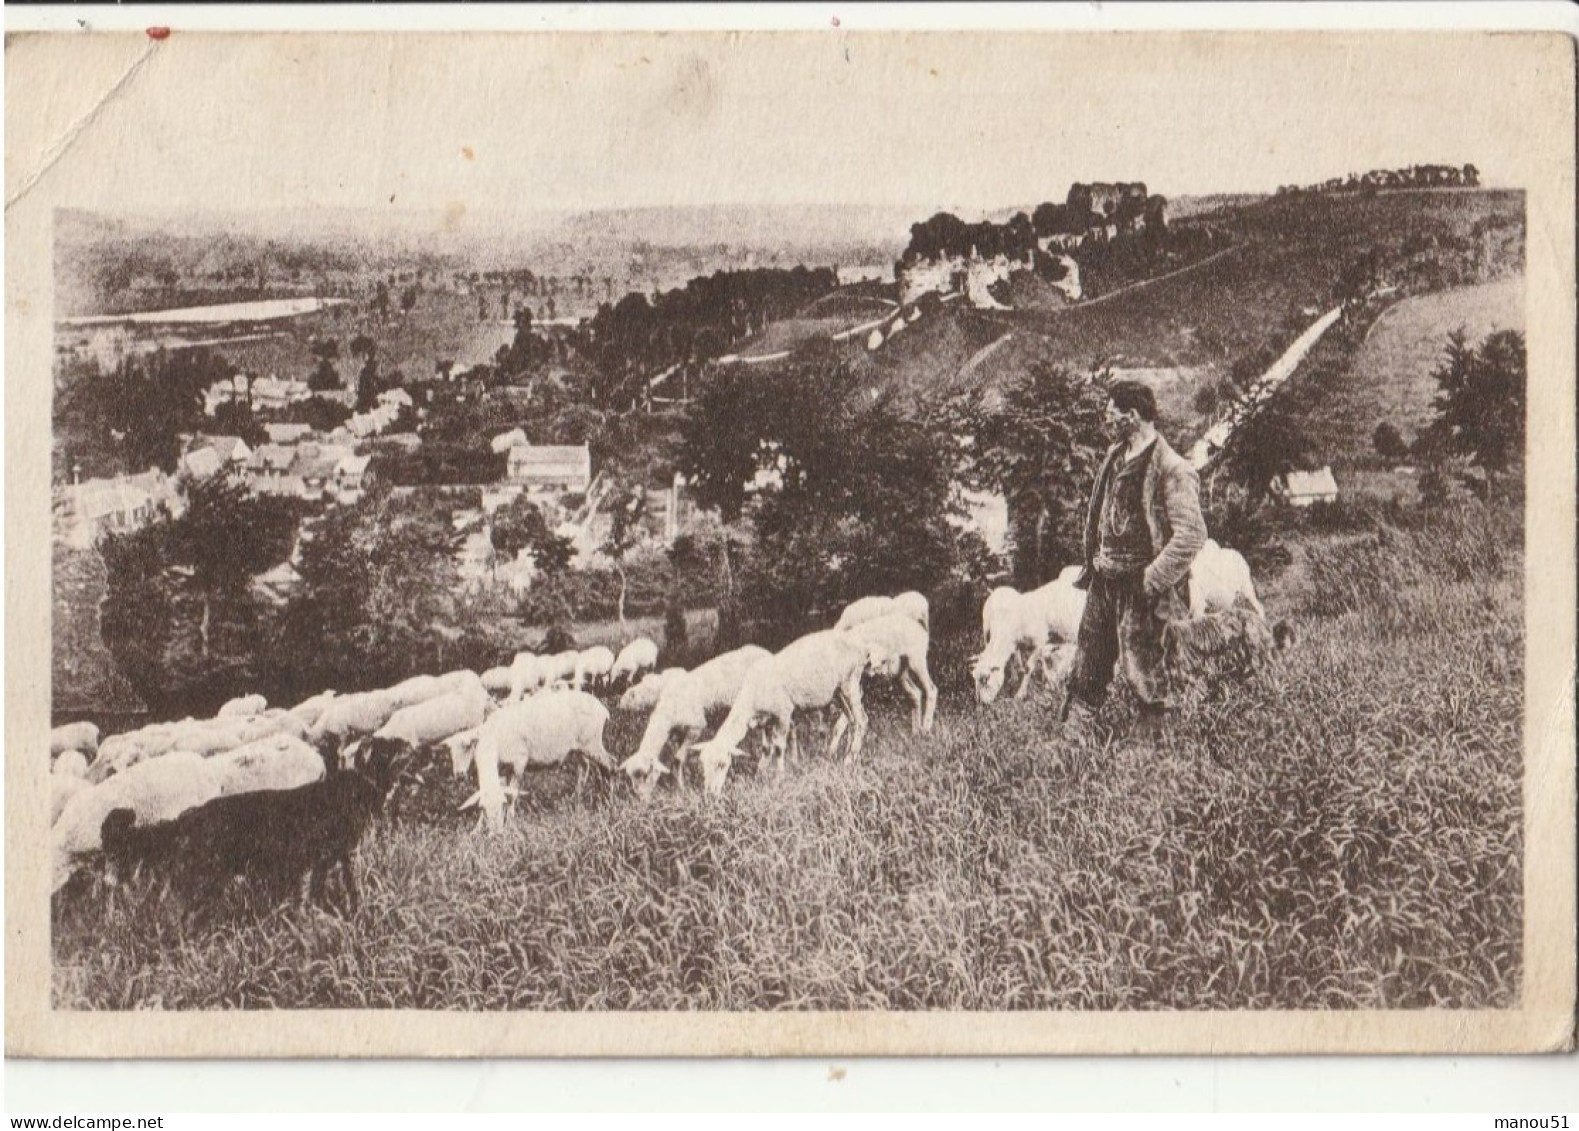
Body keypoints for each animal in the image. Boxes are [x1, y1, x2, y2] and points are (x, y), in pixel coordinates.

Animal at [457, 688, 615, 827]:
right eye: (482, 808)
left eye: (501, 805)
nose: (496, 833)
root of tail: (602, 709)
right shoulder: (502, 767)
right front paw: (476, 829)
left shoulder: (519, 761)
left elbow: (512, 794)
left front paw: (510, 822)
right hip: (580, 747)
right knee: (585, 768)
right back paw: (578, 800)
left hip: (592, 742)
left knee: (609, 764)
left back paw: (607, 801)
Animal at [615, 650, 770, 799]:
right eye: (630, 777)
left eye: (646, 775)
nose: (641, 799)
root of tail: (763, 651)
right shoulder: (676, 733)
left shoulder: (696, 727)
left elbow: (678, 759)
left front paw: (680, 788)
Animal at [688, 631, 884, 799]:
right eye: (702, 765)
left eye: (722, 764)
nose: (710, 795)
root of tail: (862, 647)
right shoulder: (766, 720)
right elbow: (766, 748)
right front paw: (760, 774)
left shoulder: (783, 713)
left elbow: (779, 747)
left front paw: (778, 779)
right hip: (840, 690)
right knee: (852, 721)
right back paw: (841, 754)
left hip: (849, 681)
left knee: (862, 720)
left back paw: (849, 760)